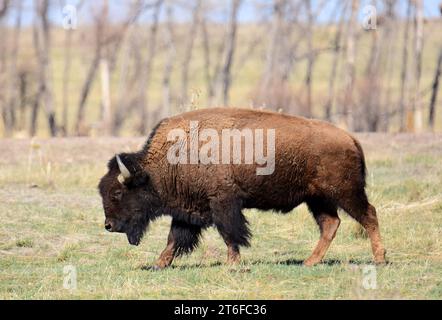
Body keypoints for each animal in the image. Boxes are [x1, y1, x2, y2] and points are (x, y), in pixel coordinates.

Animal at [97, 109, 386, 268]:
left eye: (118, 193)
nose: (108, 225)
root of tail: (350, 138)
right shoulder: (188, 210)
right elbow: (174, 239)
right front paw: (159, 264)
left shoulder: (224, 203)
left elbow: (230, 234)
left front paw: (233, 263)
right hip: (318, 199)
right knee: (330, 224)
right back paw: (309, 261)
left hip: (345, 193)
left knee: (369, 215)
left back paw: (380, 259)